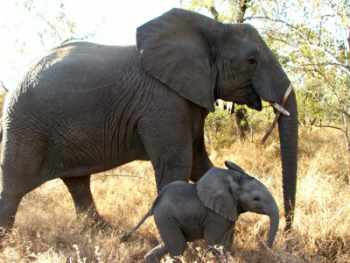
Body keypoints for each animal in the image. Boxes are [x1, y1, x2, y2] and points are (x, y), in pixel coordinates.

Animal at [0, 7, 296, 231]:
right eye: (252, 60)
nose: (287, 230)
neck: (212, 27)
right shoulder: (164, 103)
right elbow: (178, 166)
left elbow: (199, 165)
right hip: (25, 124)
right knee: (14, 186)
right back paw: (7, 238)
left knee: (78, 182)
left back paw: (100, 230)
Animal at [121, 162, 280, 262]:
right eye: (256, 199)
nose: (266, 249)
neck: (231, 180)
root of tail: (155, 203)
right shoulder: (215, 216)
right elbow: (213, 242)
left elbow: (227, 242)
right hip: (165, 217)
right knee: (178, 247)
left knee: (170, 245)